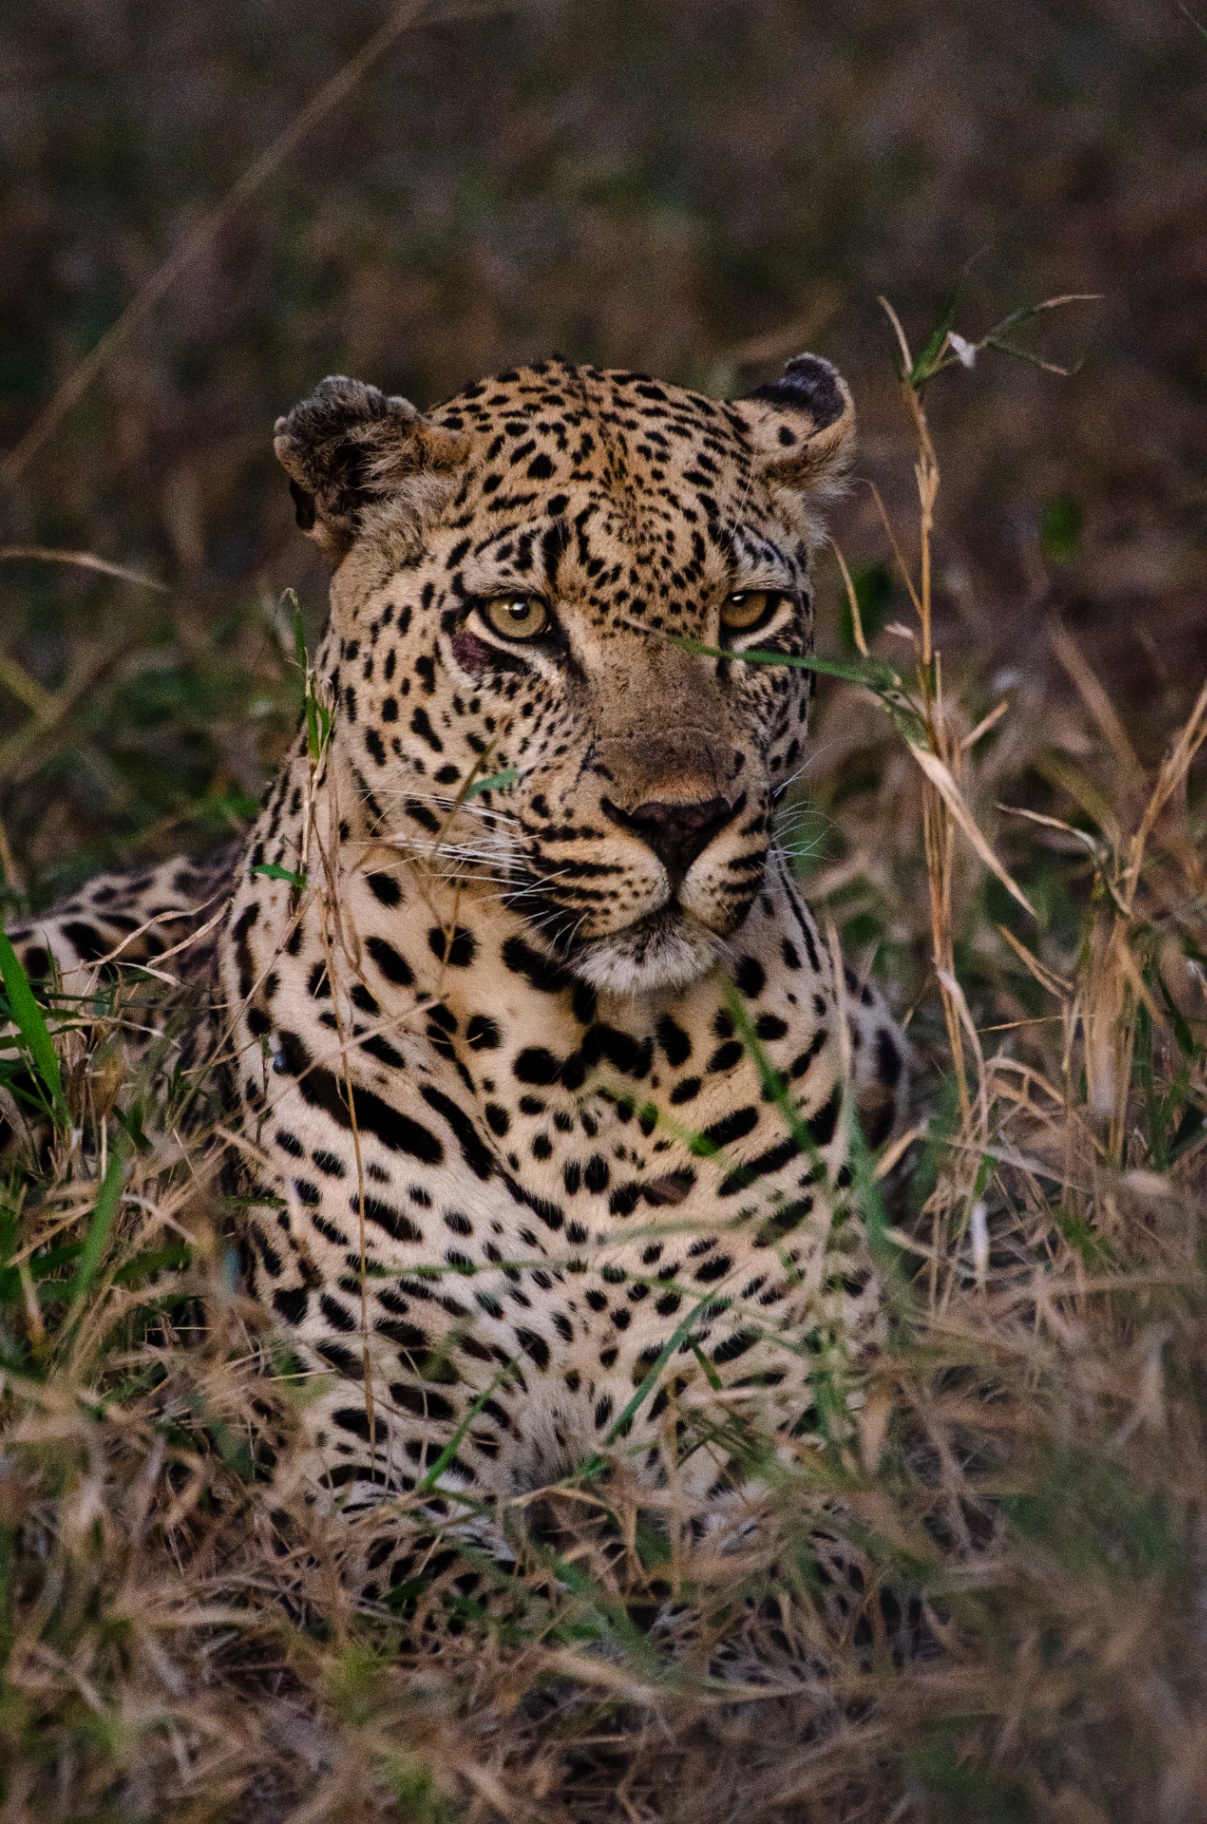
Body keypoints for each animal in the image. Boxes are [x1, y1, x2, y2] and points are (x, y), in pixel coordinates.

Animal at [8, 353, 908, 1602]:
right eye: (518, 618)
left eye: (744, 611)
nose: (680, 821)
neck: (585, 1057)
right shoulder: (370, 1451)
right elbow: (491, 1603)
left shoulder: (783, 1408)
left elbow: (811, 1577)